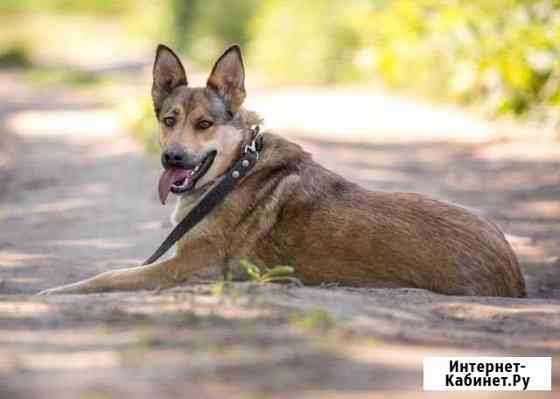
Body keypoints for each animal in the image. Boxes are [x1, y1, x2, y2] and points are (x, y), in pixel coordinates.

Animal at [37, 45, 528, 298]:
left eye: (204, 125)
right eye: (169, 120)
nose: (171, 159)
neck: (235, 170)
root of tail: (514, 273)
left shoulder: (180, 269)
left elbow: (107, 276)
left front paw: (48, 295)